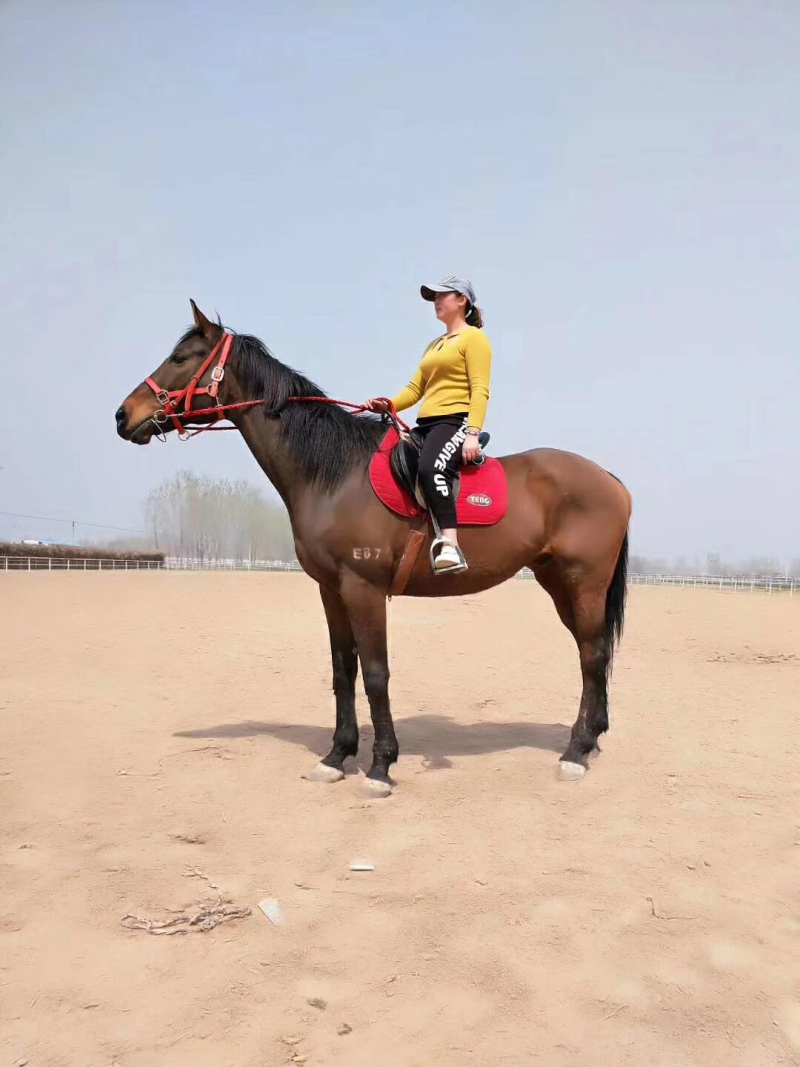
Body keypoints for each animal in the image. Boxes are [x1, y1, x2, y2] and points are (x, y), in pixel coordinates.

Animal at [116, 301, 632, 798]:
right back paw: (592, 737)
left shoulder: (363, 588)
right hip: (558, 582)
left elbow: (376, 673)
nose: (123, 415)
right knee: (593, 650)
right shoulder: (331, 590)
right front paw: (336, 756)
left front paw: (381, 765)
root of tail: (610, 479)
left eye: (180, 358)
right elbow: (343, 670)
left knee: (592, 655)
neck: (336, 473)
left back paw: (575, 752)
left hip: (583, 581)